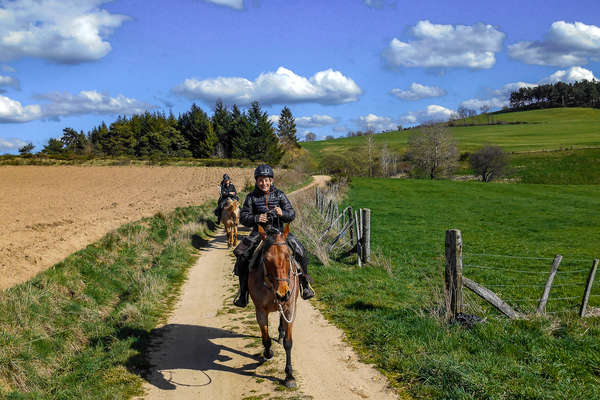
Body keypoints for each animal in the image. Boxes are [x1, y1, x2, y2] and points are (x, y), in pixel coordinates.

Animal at [250, 225, 300, 388]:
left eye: (289, 255)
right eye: (265, 259)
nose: (283, 294)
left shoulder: (290, 309)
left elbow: (288, 343)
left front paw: (289, 376)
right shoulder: (260, 310)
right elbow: (266, 338)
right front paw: (268, 353)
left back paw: (281, 331)